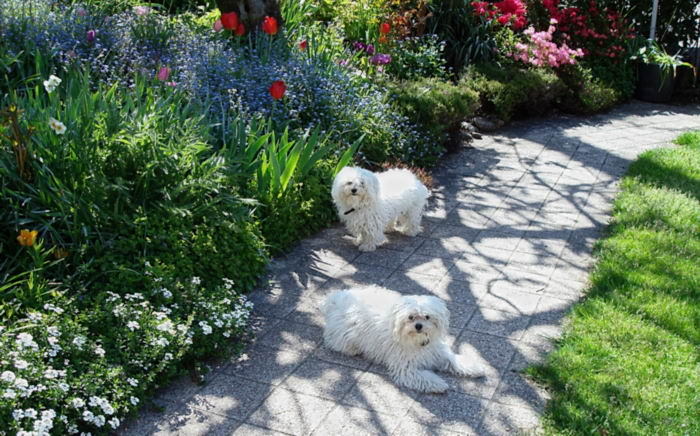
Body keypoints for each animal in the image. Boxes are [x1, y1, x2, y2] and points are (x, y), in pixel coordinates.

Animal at [320, 284, 484, 394]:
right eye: (410, 317)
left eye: (427, 317)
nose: (418, 326)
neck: (417, 341)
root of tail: (336, 299)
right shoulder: (406, 368)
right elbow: (424, 377)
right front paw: (439, 384)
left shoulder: (437, 352)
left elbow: (454, 360)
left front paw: (475, 368)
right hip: (344, 337)